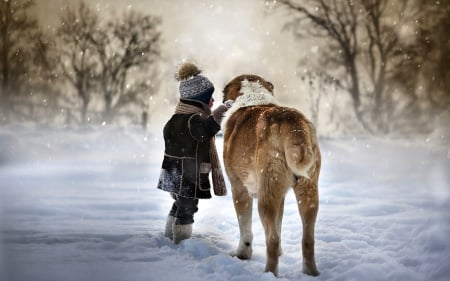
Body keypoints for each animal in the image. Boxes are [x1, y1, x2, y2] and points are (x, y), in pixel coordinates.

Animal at [221, 74, 320, 276]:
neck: (252, 98)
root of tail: (293, 122)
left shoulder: (239, 188)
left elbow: (245, 227)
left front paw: (242, 254)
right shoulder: (281, 197)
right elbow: (279, 224)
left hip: (265, 196)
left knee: (272, 240)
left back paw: (269, 274)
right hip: (308, 191)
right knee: (307, 239)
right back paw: (311, 273)